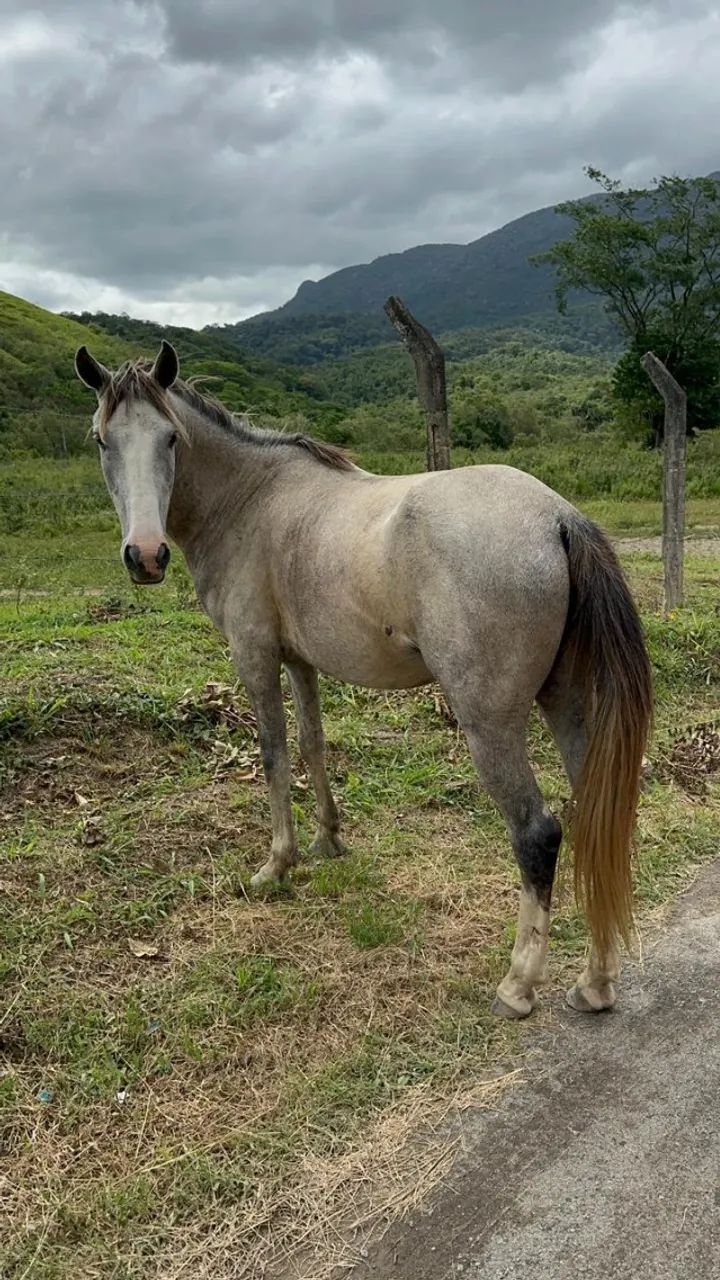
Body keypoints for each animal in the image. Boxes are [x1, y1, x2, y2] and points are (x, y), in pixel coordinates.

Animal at [75, 340, 653, 1019]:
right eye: (103, 440)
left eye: (169, 438)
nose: (145, 555)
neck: (250, 500)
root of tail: (556, 518)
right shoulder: (299, 660)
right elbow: (312, 744)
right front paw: (328, 839)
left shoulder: (254, 655)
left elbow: (272, 754)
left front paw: (277, 865)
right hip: (565, 703)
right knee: (596, 816)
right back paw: (596, 981)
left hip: (491, 725)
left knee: (538, 833)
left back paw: (517, 984)